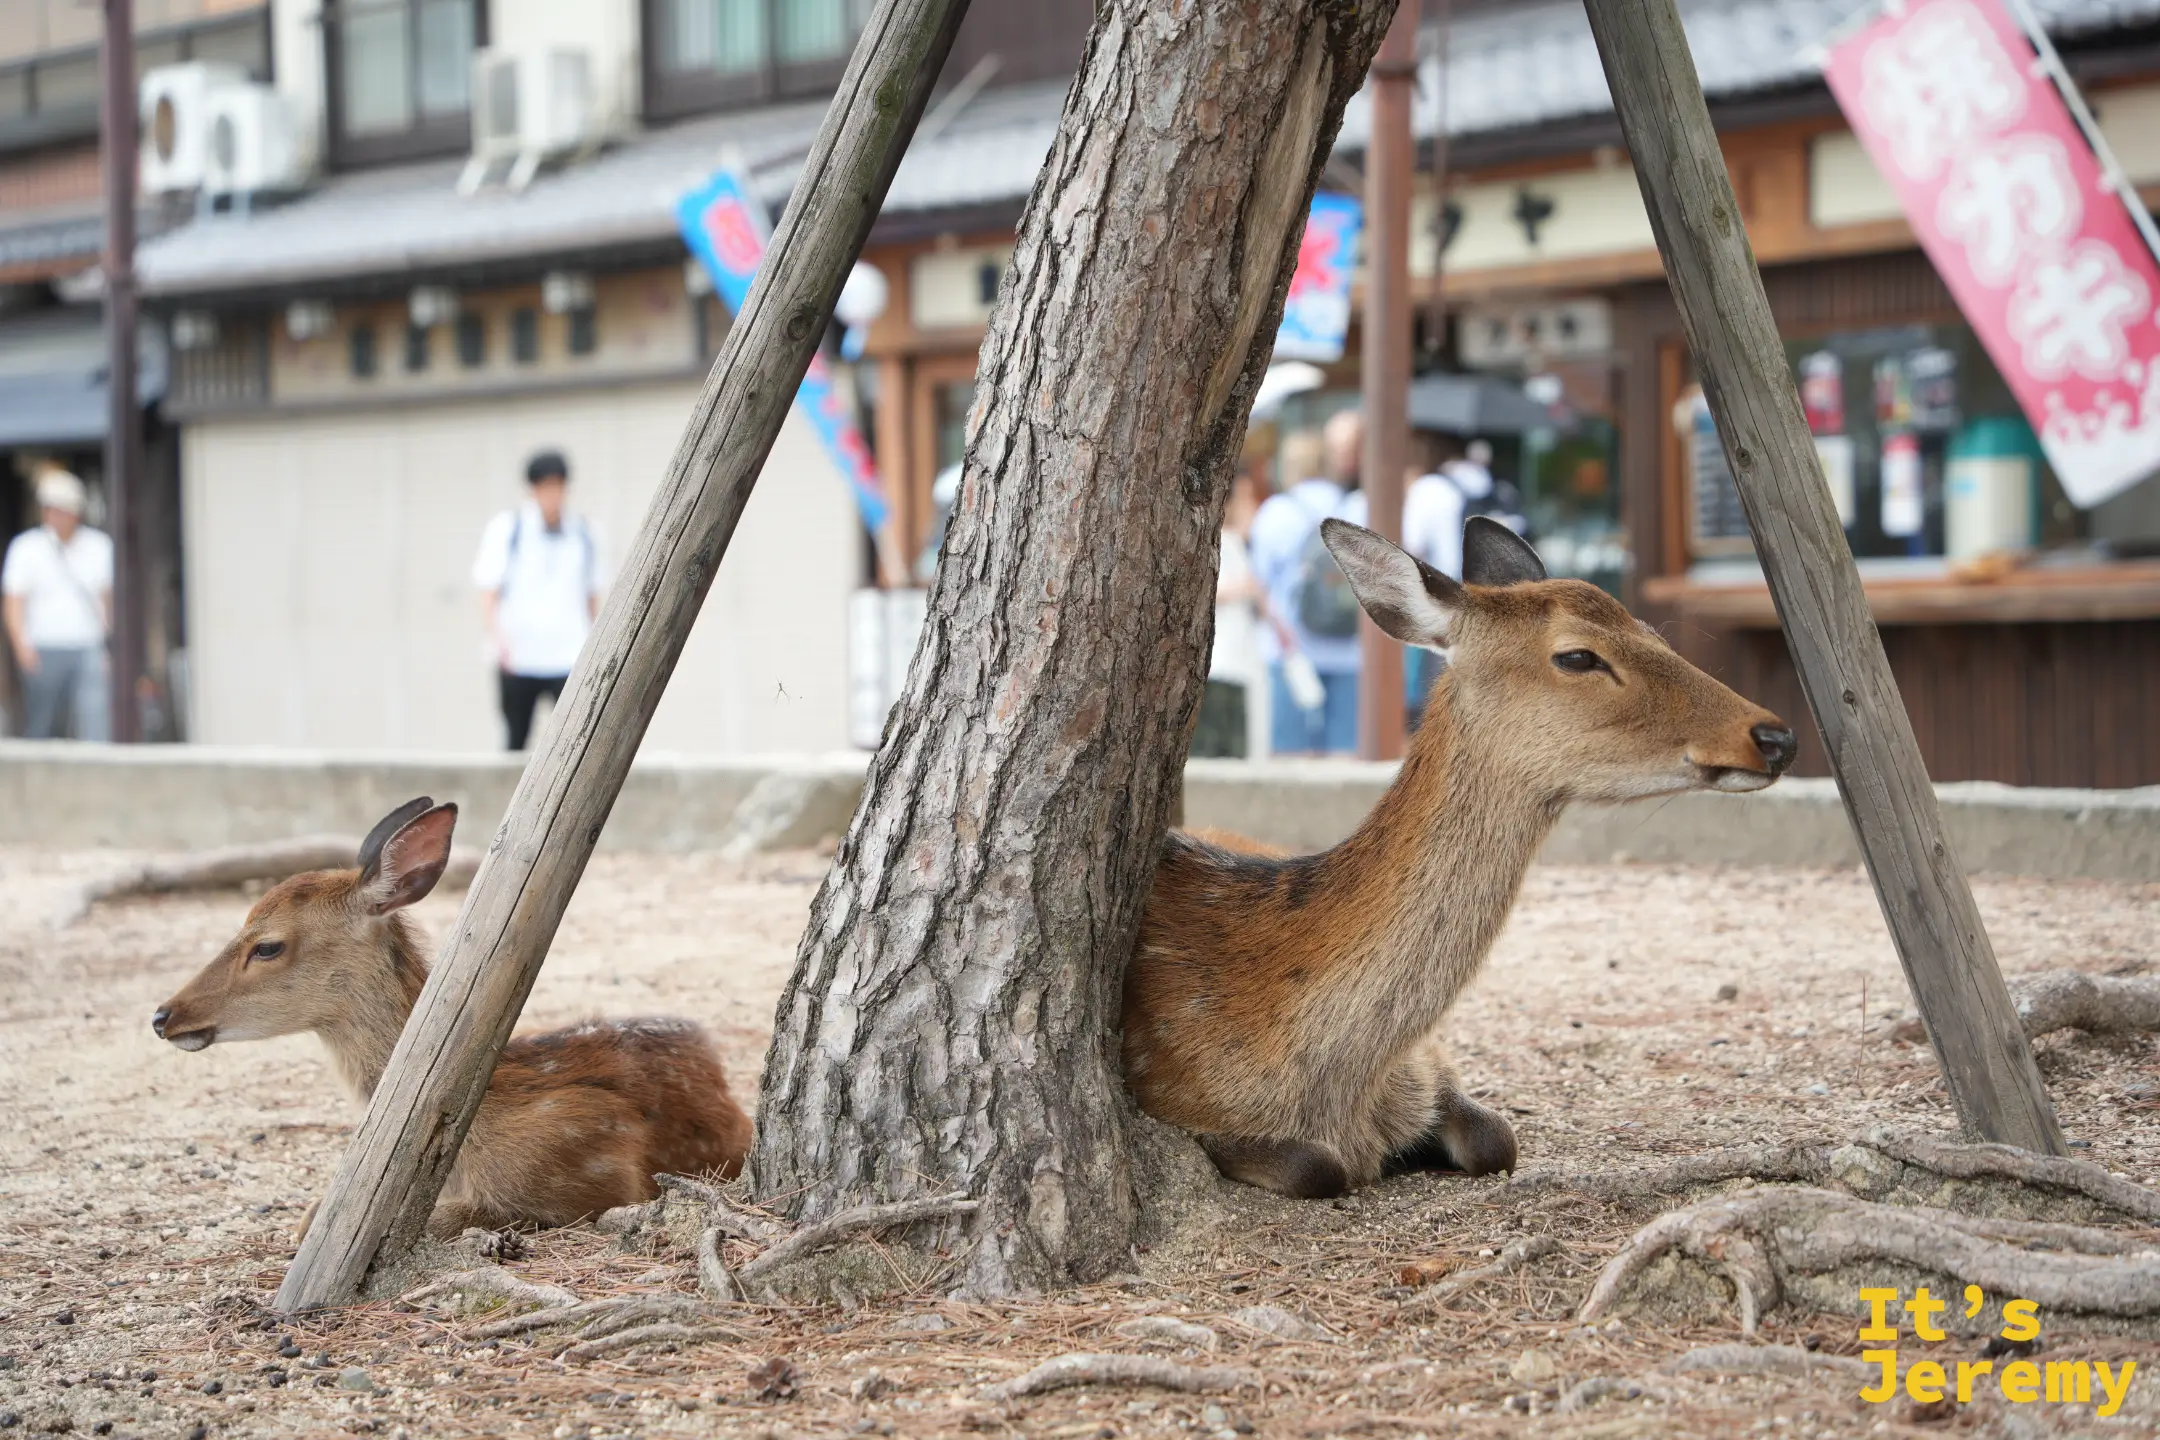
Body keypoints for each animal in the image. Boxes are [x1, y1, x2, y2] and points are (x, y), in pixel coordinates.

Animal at [1125, 517, 1797, 1199]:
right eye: (1577, 656)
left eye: (1653, 633)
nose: (1775, 737)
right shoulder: (1183, 1103)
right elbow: (1318, 1167)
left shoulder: (1431, 1065)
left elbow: (1498, 1139)